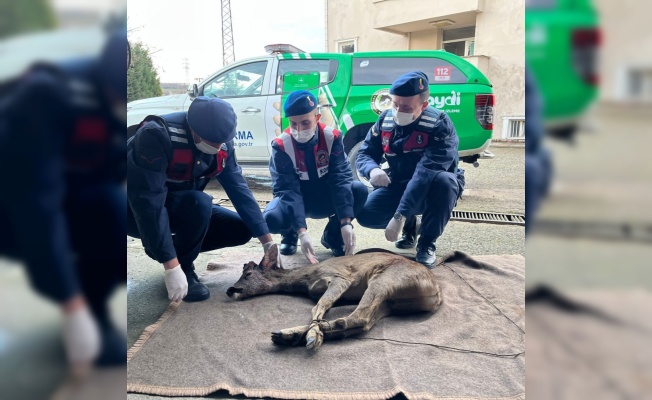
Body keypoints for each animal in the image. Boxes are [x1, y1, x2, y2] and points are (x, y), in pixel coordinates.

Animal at [225, 244, 444, 350]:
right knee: (364, 321)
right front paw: (311, 333)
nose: (230, 289)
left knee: (359, 317)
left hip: (385, 280)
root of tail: (437, 294)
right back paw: (288, 335)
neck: (305, 279)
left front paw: (314, 335)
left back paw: (302, 335)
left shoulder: (340, 277)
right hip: (391, 303)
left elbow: (320, 305)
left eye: (248, 274)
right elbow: (323, 305)